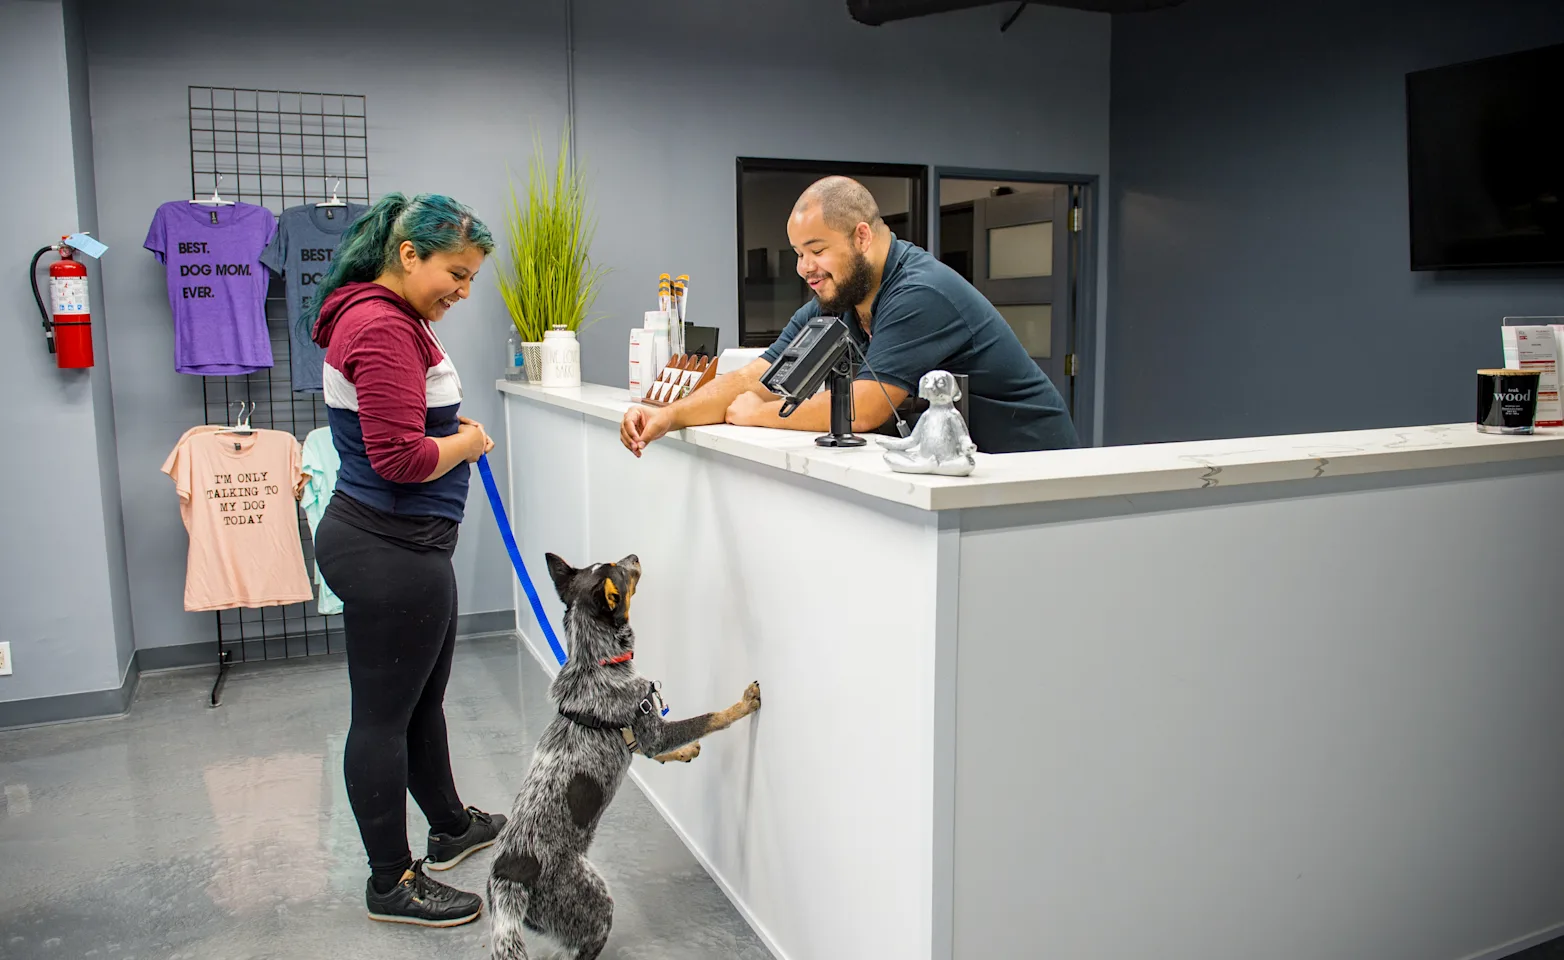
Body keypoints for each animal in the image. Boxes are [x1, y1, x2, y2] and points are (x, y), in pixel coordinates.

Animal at [484, 553, 760, 956]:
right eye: (621, 569)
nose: (635, 556)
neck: (595, 662)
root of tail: (507, 878)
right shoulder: (652, 724)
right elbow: (706, 719)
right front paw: (741, 704)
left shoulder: (644, 738)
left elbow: (659, 752)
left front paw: (687, 751)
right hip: (596, 904)